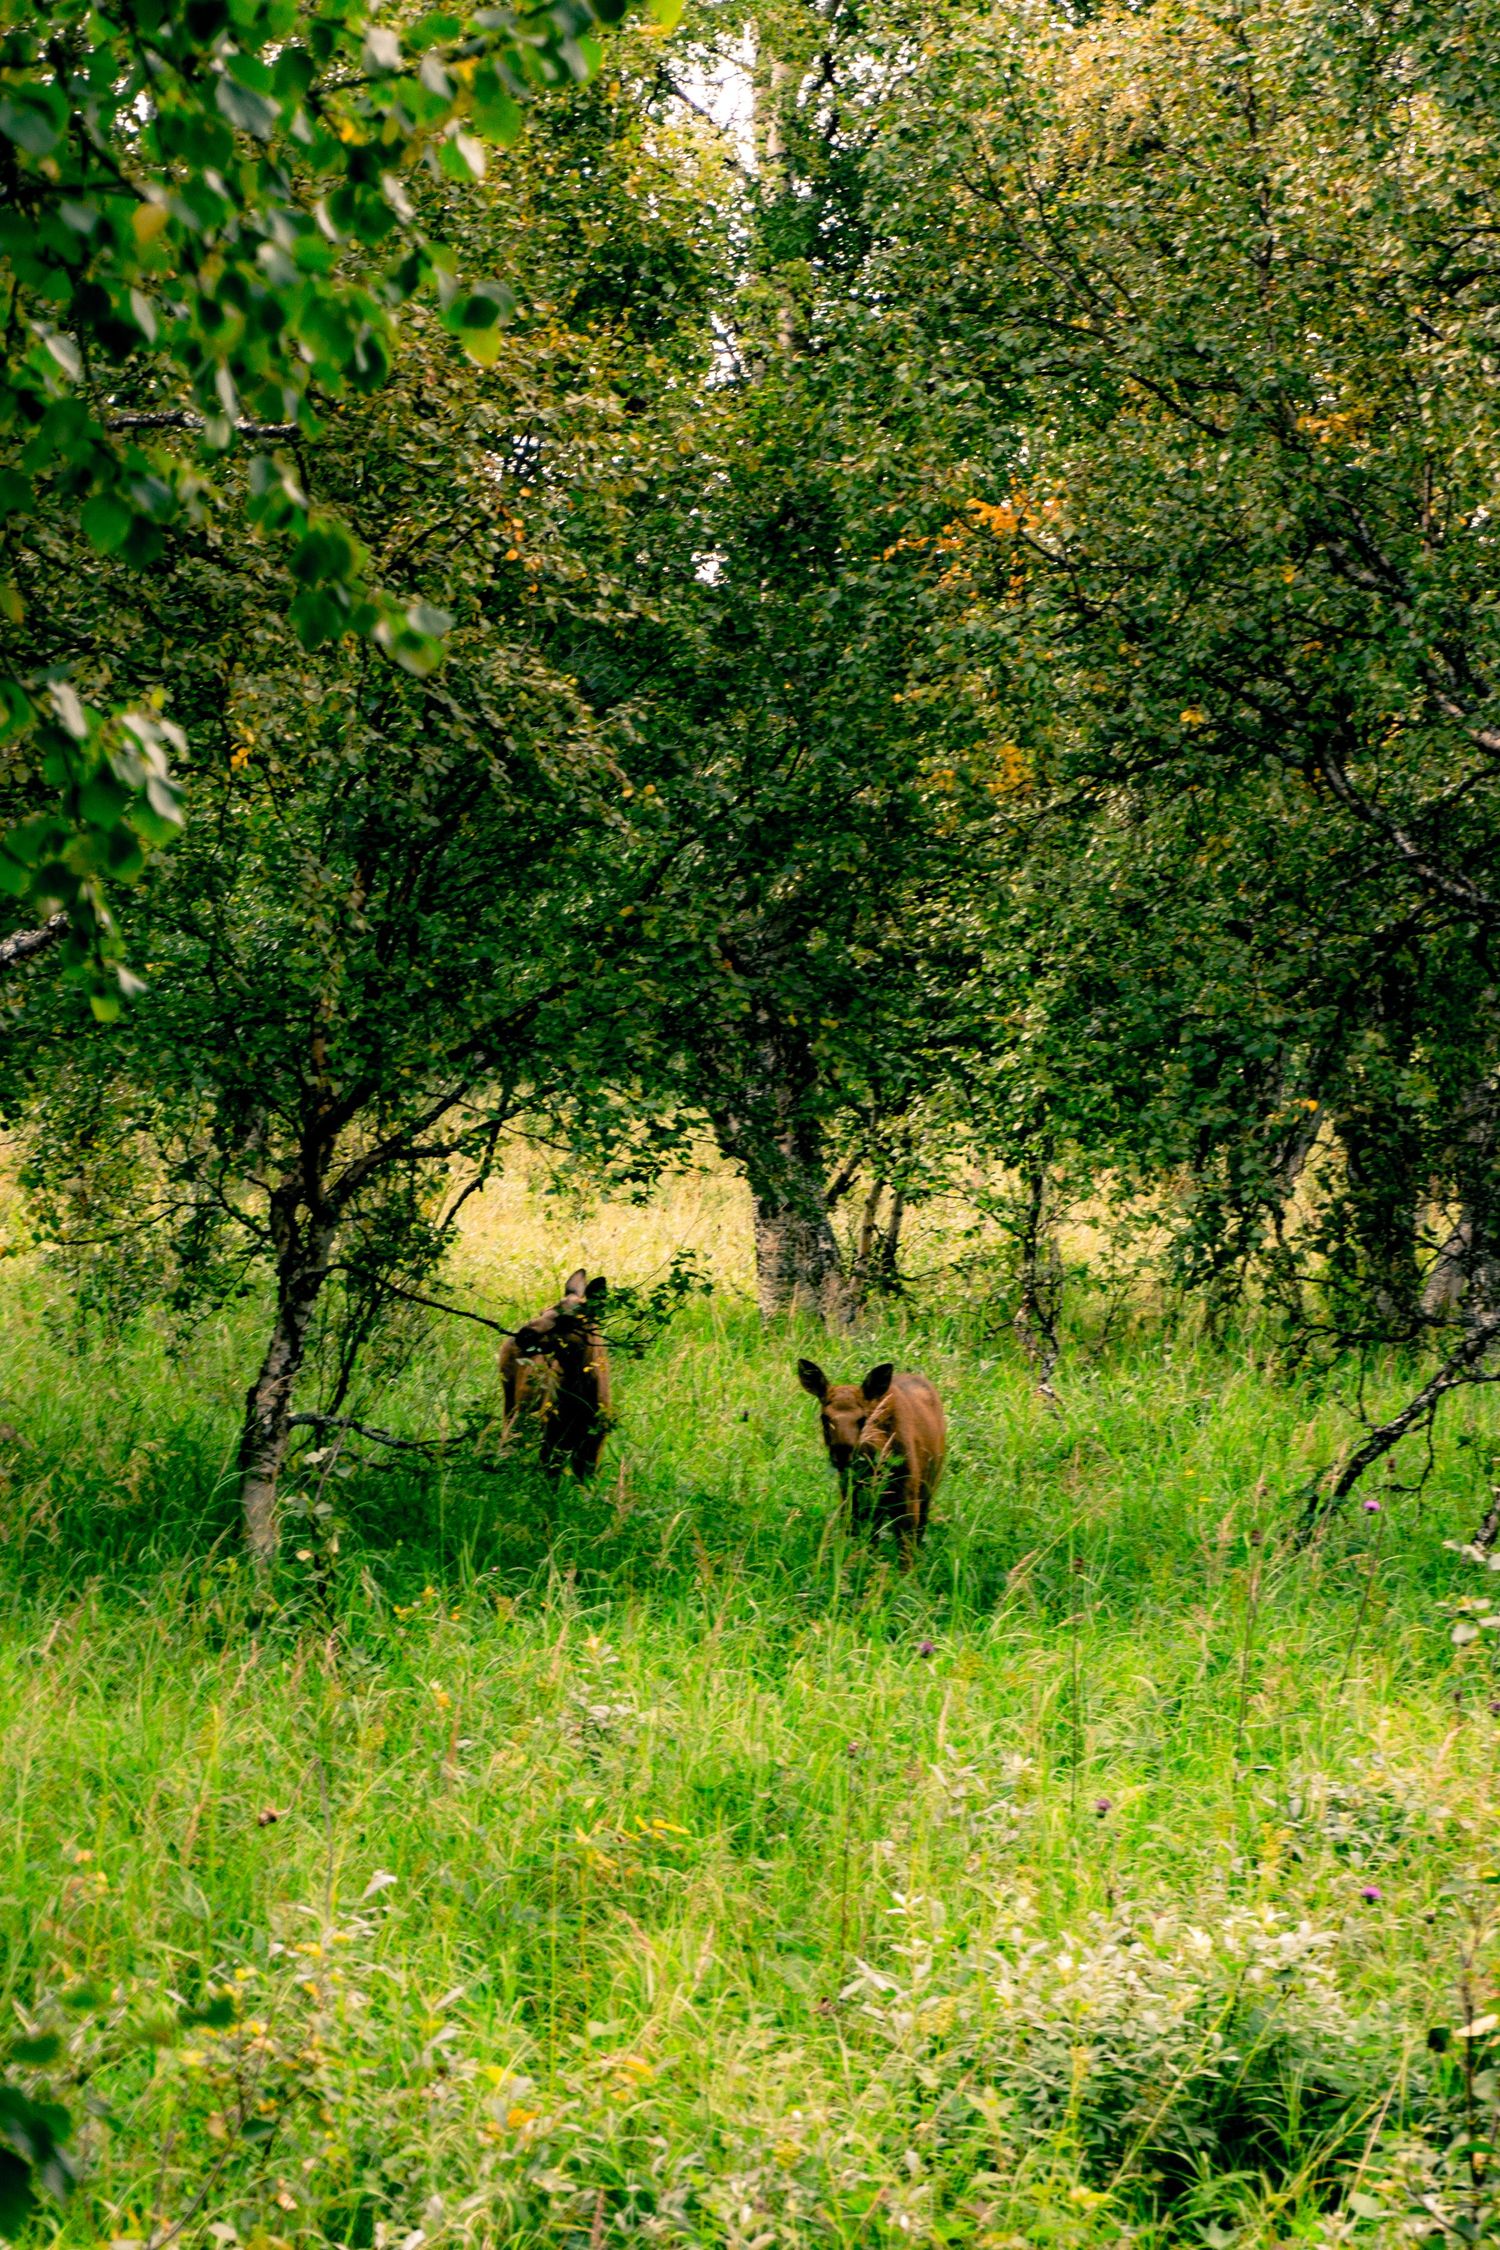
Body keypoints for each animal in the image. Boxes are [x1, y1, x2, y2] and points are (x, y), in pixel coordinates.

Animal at [499, 1269, 612, 1480]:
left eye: (567, 1320)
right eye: (542, 1312)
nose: (524, 1334)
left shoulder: (594, 1443)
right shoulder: (551, 1433)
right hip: (511, 1400)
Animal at [797, 1357, 946, 1563]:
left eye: (863, 1419)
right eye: (825, 1417)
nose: (842, 1453)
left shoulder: (908, 1494)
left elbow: (905, 1553)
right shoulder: (850, 1496)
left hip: (929, 1486)